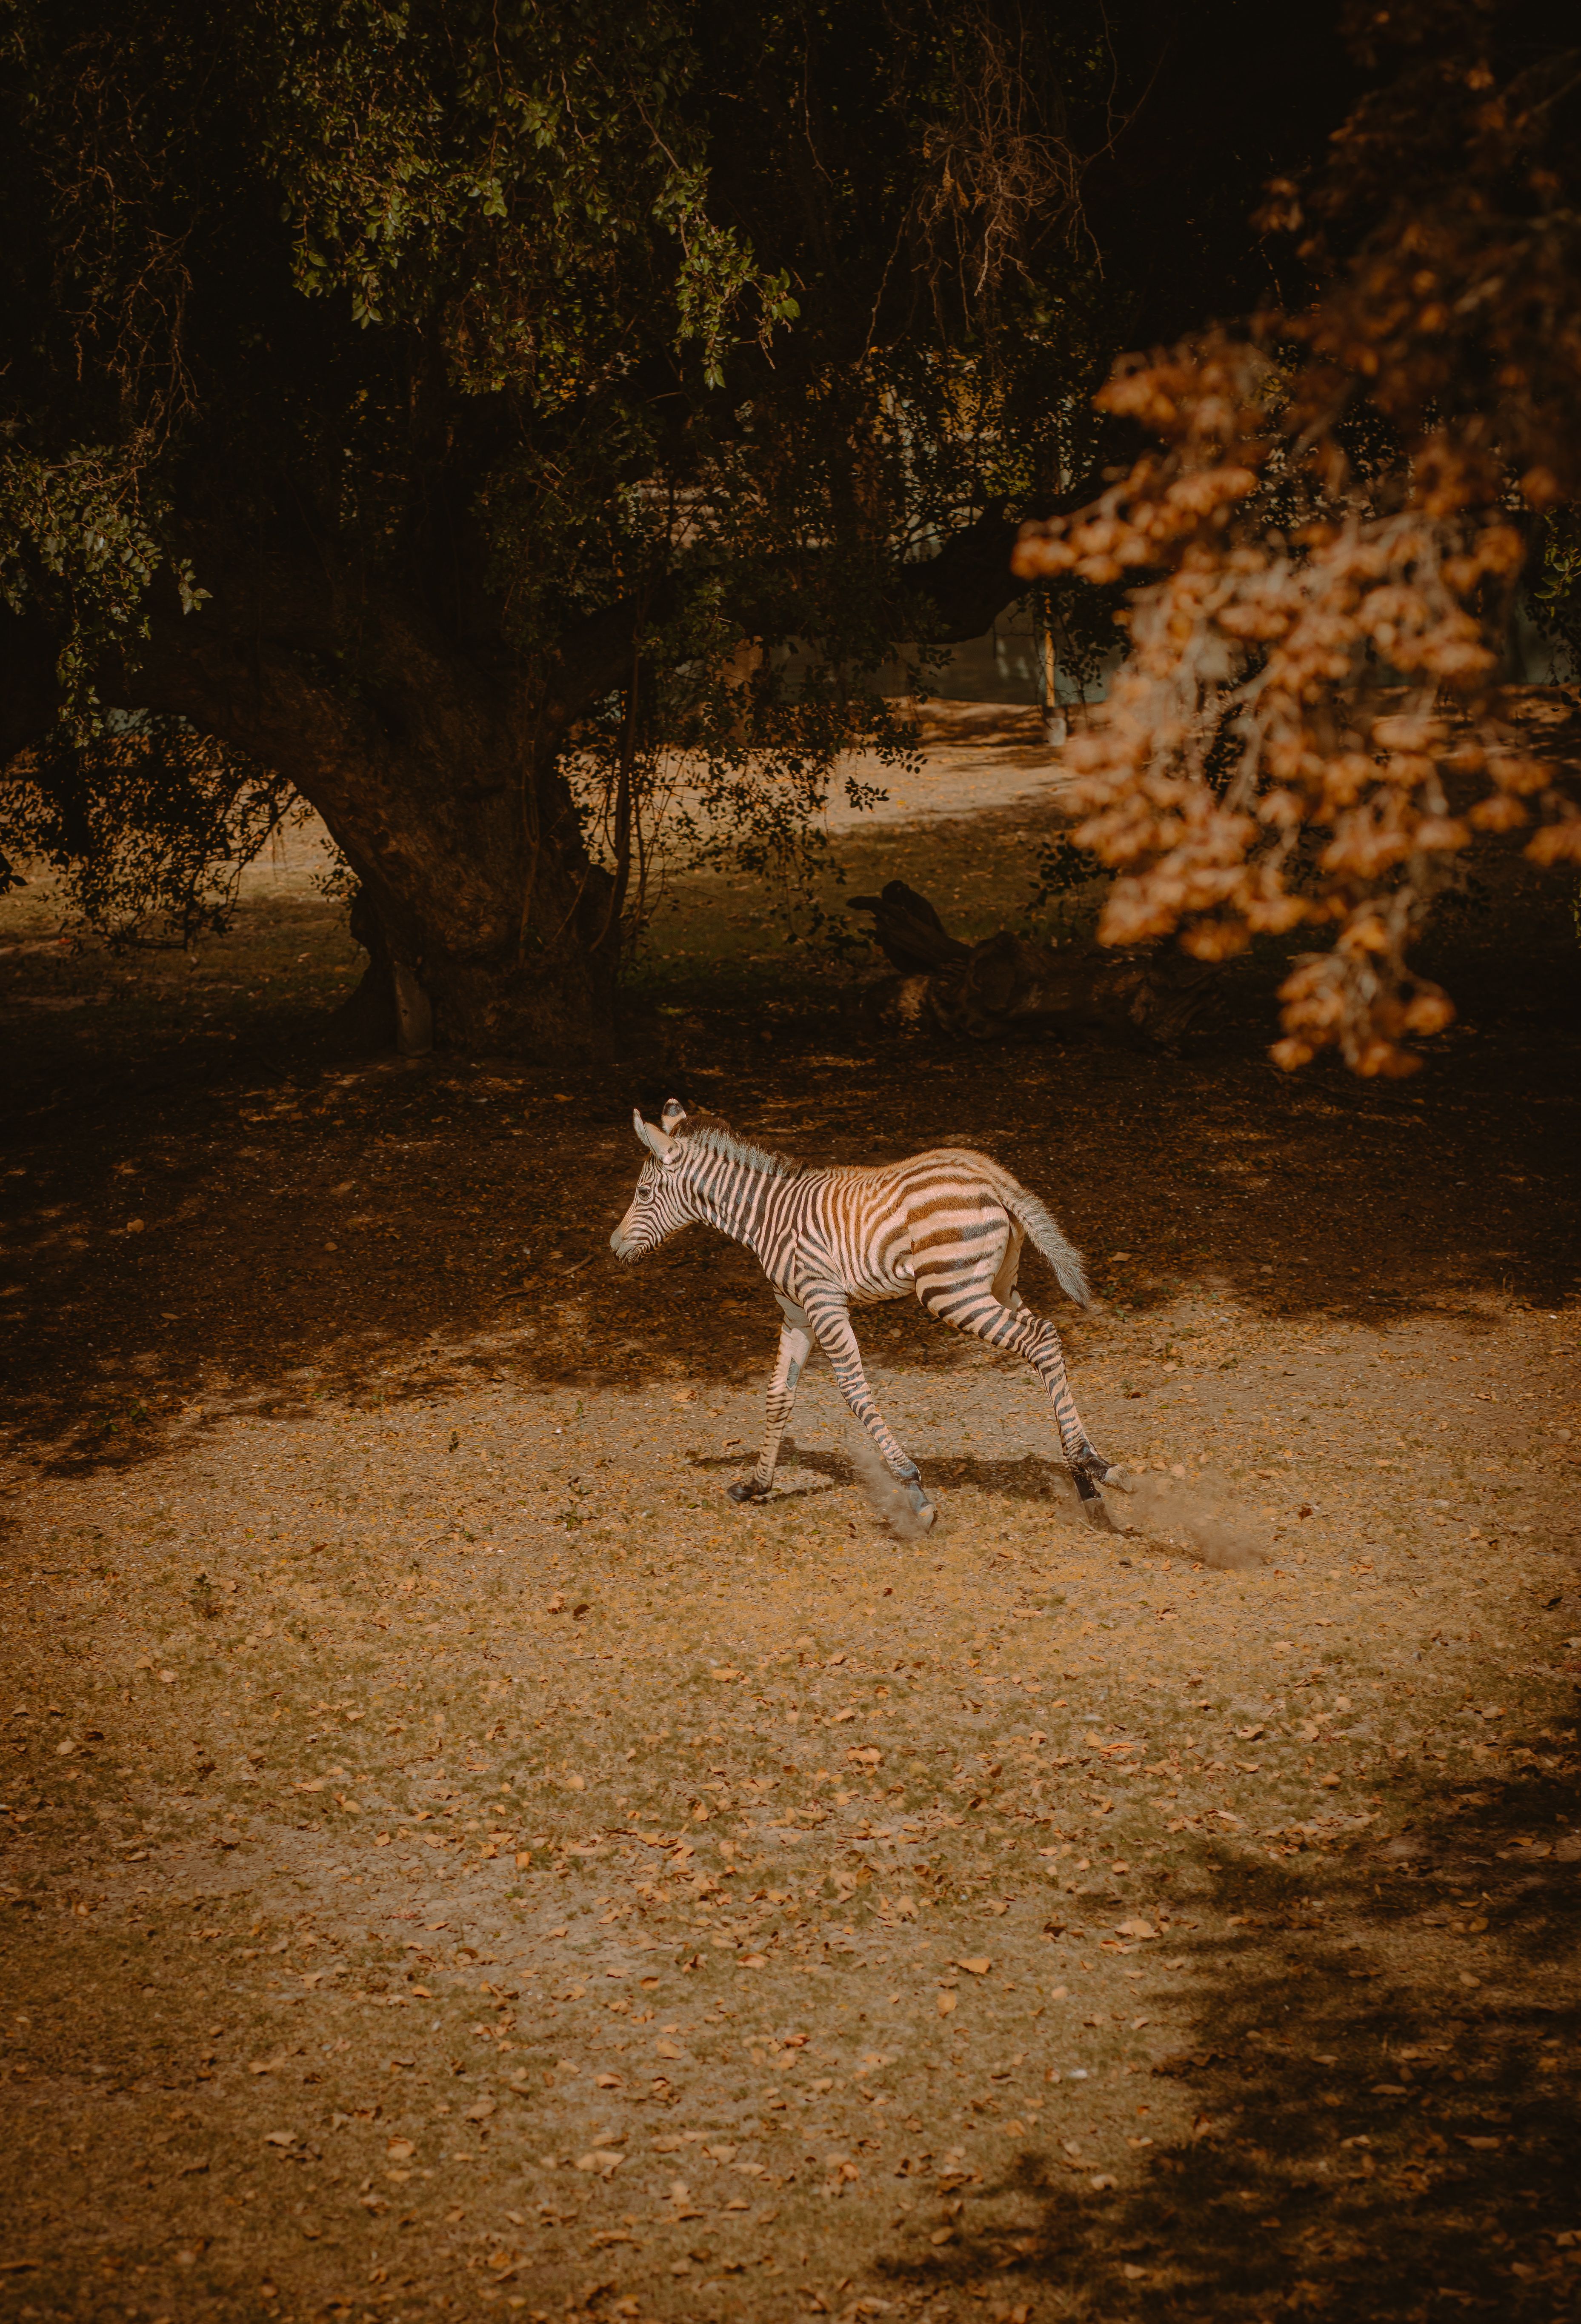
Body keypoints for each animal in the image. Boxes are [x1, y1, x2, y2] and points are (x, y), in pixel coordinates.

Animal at [610, 1101, 1123, 1530]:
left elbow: (854, 1389)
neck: (767, 1216)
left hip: (950, 1293)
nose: (613, 1247)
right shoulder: (796, 1313)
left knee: (1038, 1339)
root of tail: (989, 1174)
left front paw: (914, 1489)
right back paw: (1087, 1476)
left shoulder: (823, 1299)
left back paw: (1089, 1463)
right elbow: (779, 1395)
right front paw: (757, 1484)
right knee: (1047, 1341)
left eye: (643, 1191)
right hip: (996, 1286)